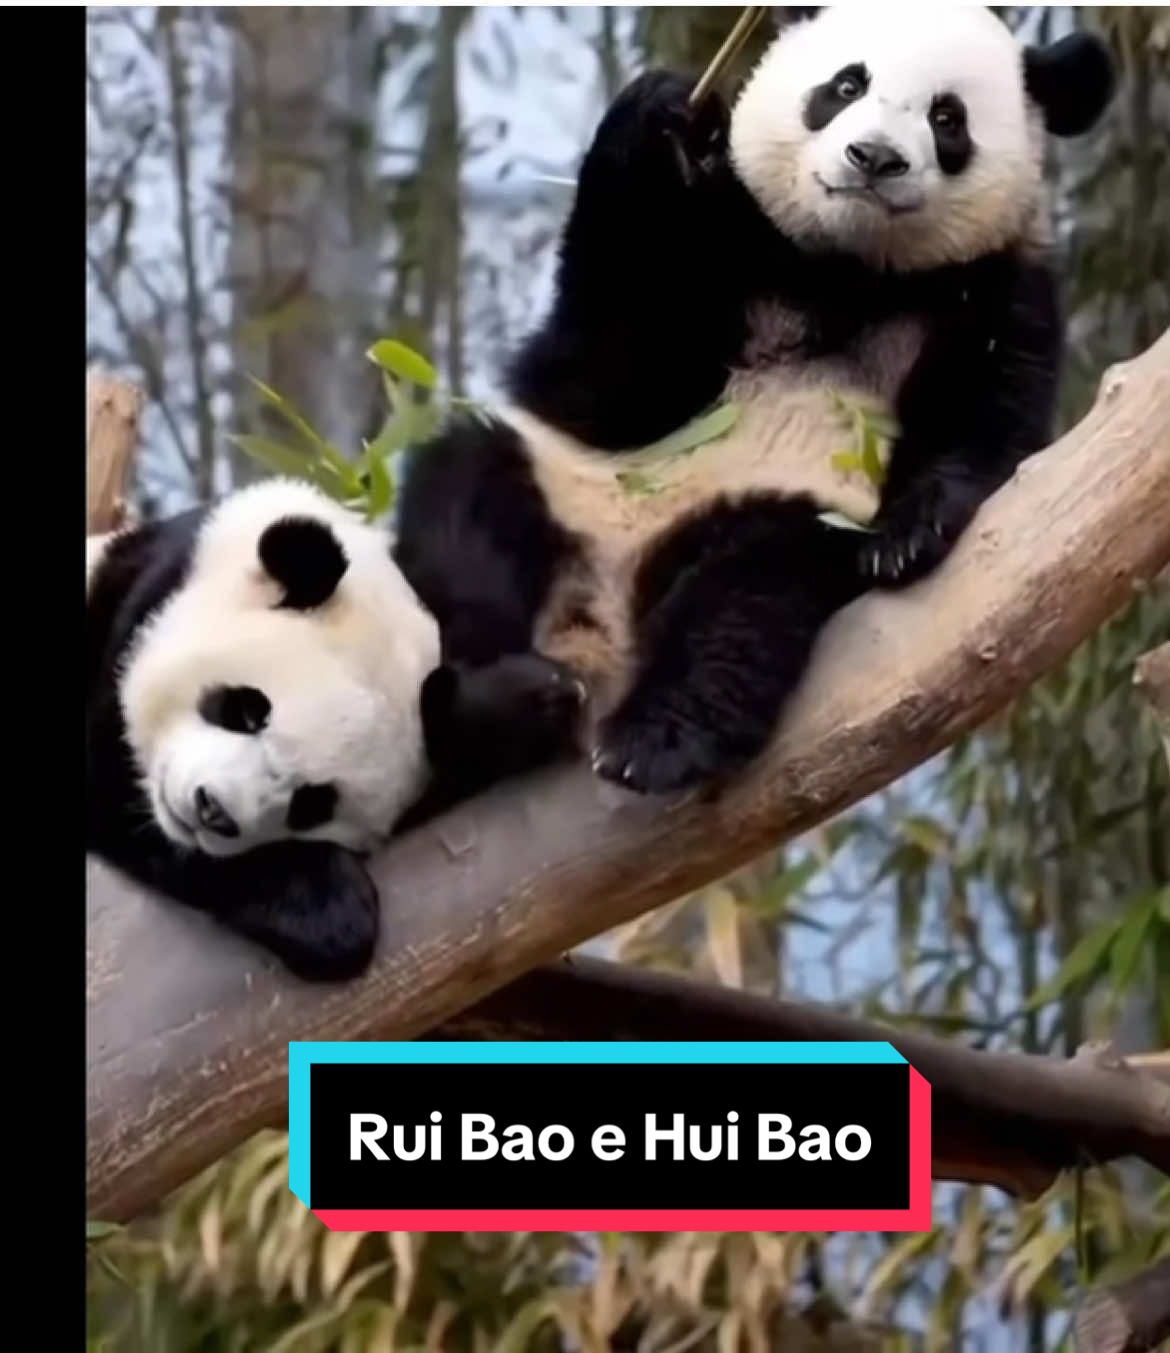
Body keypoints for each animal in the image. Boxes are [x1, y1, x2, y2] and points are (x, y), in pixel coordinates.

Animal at [394, 6, 1114, 796]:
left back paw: (655, 737)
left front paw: (907, 535)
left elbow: (984, 421)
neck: (848, 270)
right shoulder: (732, 244)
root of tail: (595, 631)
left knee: (743, 592)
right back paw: (496, 703)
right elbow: (602, 376)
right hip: (558, 493)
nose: (873, 157)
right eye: (846, 84)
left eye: (946, 118)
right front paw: (660, 122)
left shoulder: (996, 287)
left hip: (766, 525)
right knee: (466, 508)